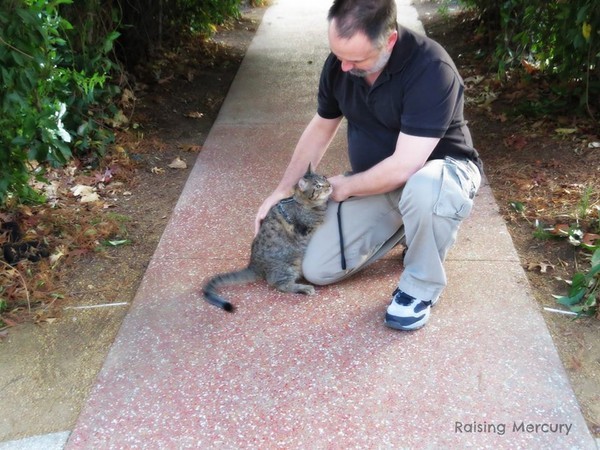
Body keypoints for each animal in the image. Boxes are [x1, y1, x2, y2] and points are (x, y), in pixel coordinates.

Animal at [203, 163, 332, 312]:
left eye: (324, 177)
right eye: (317, 186)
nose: (329, 185)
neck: (301, 202)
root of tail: (253, 265)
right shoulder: (308, 226)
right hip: (289, 266)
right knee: (281, 285)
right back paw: (304, 288)